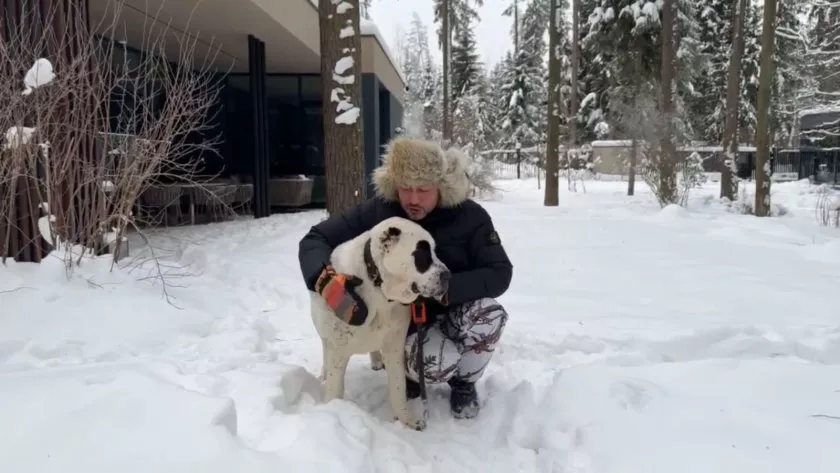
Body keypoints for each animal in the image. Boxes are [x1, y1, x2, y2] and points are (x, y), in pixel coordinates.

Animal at [309, 216, 451, 431]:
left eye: (434, 251)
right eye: (421, 253)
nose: (448, 276)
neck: (379, 290)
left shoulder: (395, 345)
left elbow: (398, 387)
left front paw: (408, 420)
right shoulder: (337, 350)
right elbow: (335, 388)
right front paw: (331, 409)